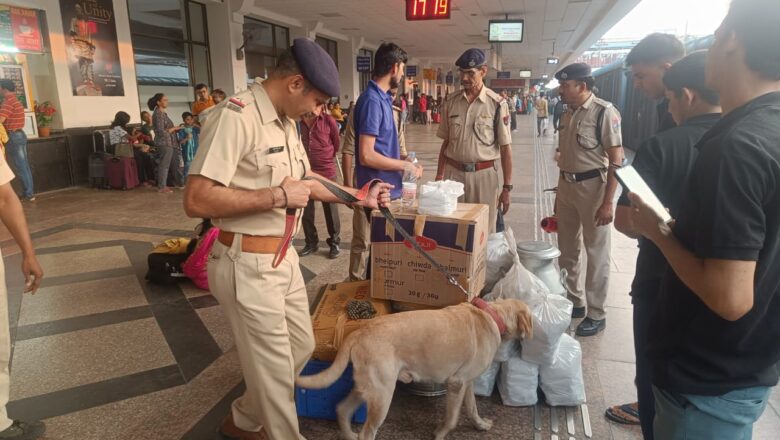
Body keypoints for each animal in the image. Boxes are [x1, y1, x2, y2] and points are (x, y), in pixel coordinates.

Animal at [296, 298, 532, 438]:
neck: (493, 314)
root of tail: (360, 331)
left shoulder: (467, 382)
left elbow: (472, 408)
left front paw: (480, 425)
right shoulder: (456, 383)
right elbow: (452, 419)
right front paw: (440, 433)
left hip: (368, 388)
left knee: (342, 409)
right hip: (383, 395)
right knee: (366, 432)